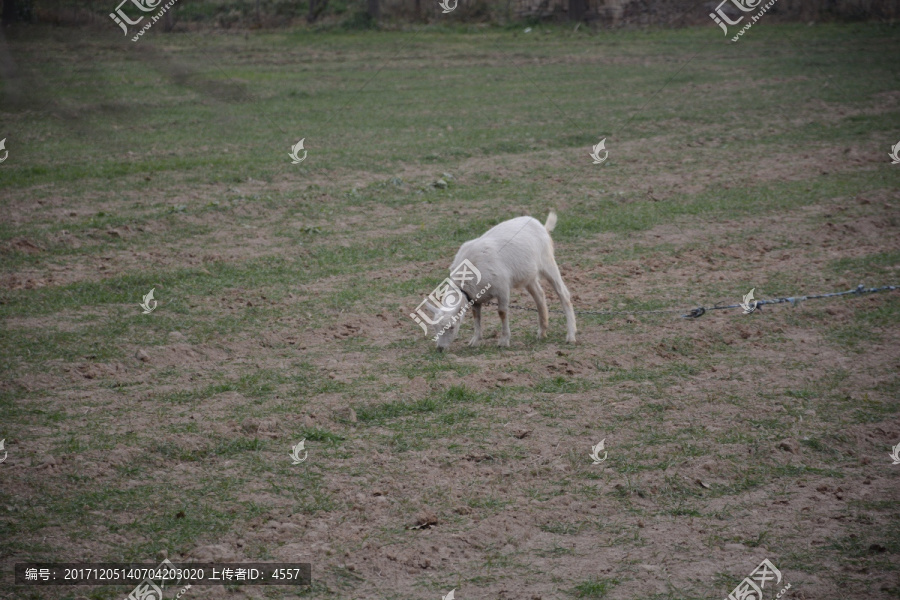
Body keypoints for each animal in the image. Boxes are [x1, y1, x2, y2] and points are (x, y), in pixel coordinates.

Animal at [430, 212, 572, 350]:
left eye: (452, 327)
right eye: (435, 328)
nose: (440, 348)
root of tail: (541, 226)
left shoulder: (502, 288)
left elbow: (502, 313)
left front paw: (503, 341)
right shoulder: (475, 296)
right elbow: (476, 316)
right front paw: (475, 341)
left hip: (547, 261)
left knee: (563, 294)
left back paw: (571, 336)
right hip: (528, 275)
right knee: (539, 295)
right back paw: (542, 332)